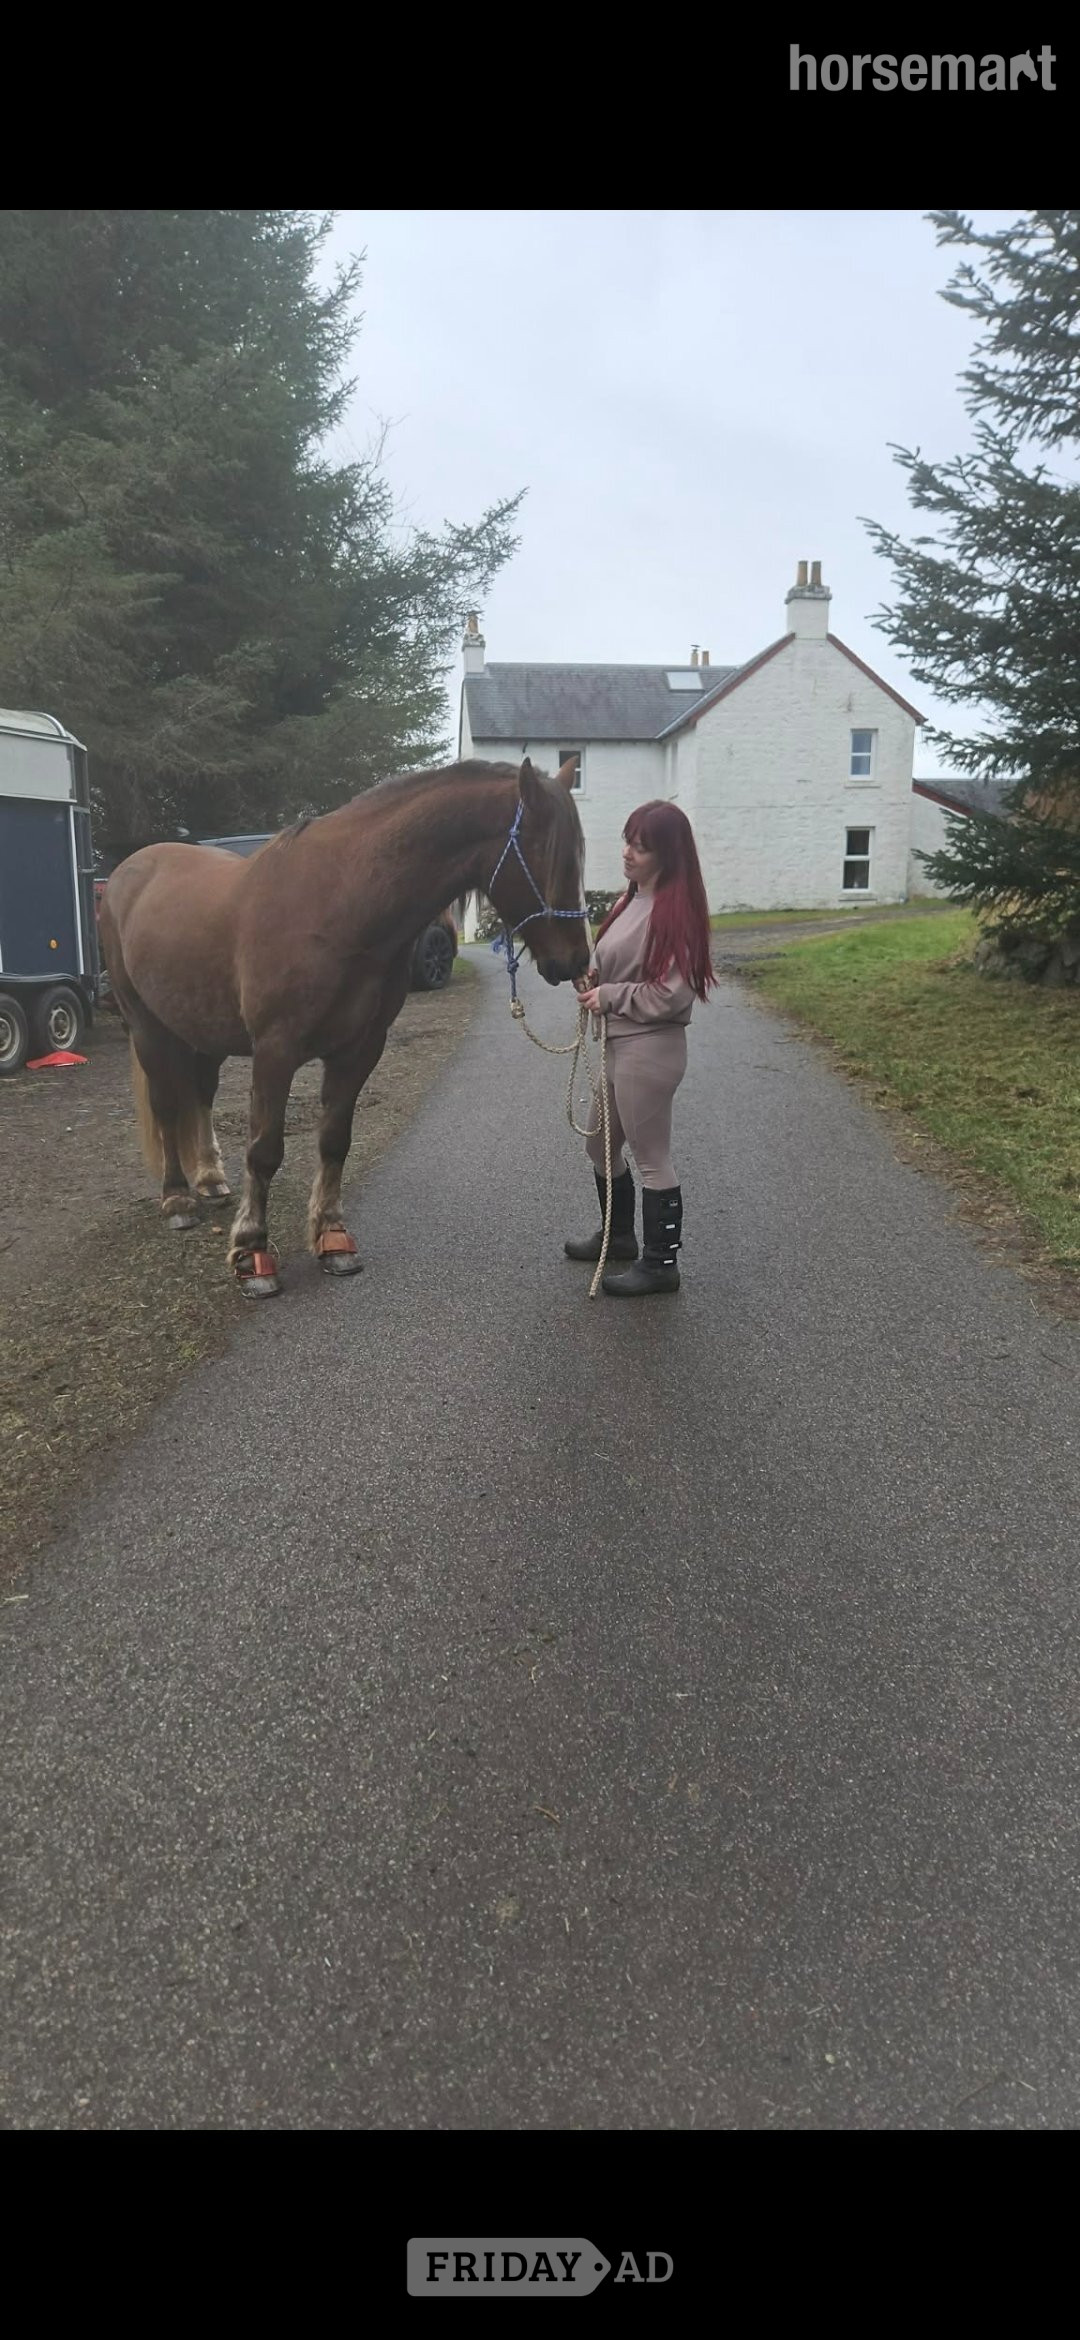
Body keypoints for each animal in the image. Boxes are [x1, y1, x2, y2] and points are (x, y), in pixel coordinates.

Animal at [98, 755, 589, 1297]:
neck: (340, 904)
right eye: (549, 854)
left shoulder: (360, 1049)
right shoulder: (275, 1051)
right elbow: (264, 1151)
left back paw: (209, 1179)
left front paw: (332, 1239)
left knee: (201, 1096)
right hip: (147, 1027)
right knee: (166, 1106)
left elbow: (335, 1140)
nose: (575, 960)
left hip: (200, 1029)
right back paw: (177, 1199)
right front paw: (252, 1253)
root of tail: (128, 871)